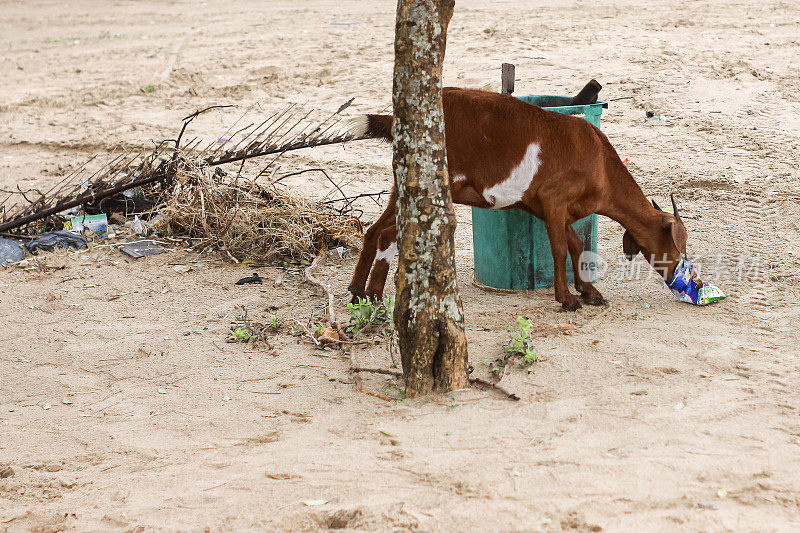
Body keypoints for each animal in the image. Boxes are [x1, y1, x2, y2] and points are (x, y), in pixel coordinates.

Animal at [348, 88, 688, 310]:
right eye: (676, 244)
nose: (681, 276)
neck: (601, 164)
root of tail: (399, 120)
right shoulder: (554, 199)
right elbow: (560, 248)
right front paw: (567, 299)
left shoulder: (544, 206)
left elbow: (576, 243)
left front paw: (589, 291)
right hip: (435, 183)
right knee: (389, 234)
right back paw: (374, 297)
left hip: (405, 183)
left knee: (375, 231)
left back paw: (358, 294)